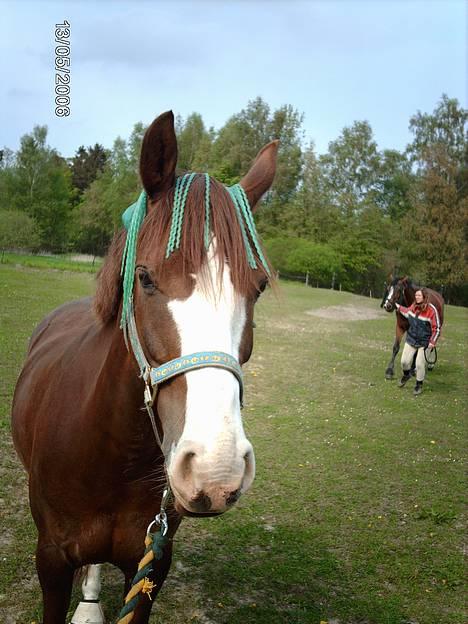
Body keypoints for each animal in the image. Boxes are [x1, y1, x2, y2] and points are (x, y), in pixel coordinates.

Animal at [11, 113, 280, 624]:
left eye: (257, 288)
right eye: (145, 278)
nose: (215, 471)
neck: (112, 454)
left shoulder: (152, 565)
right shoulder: (50, 560)